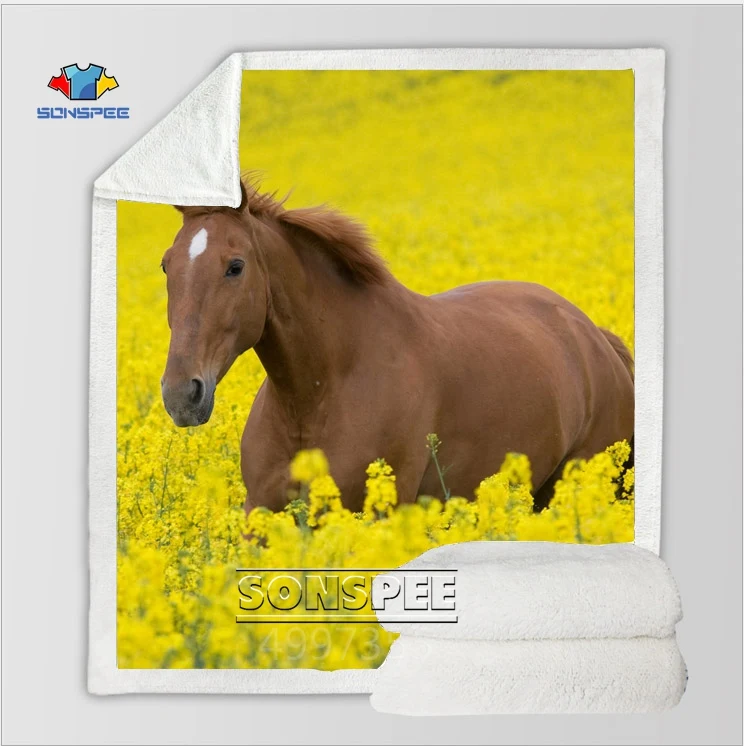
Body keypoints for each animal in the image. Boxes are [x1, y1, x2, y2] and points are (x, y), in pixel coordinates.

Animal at [160, 177, 634, 513]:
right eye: (166, 265)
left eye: (235, 266)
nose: (182, 394)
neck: (316, 398)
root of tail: (595, 337)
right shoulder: (260, 515)